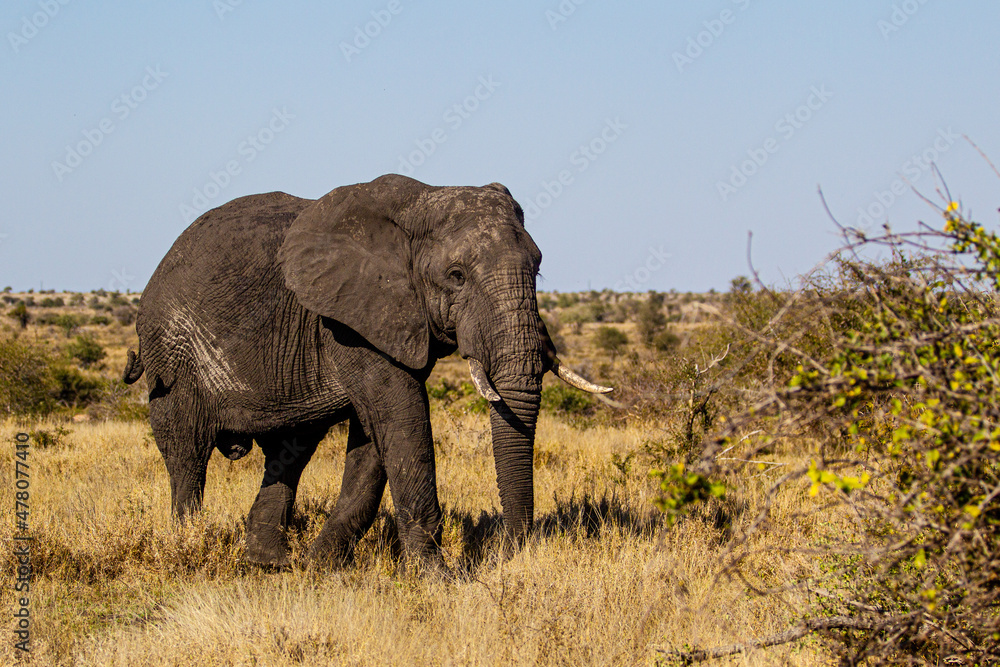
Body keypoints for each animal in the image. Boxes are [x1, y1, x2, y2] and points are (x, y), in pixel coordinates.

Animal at [123, 174, 612, 572]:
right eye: (456, 275)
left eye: (538, 266)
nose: (503, 555)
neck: (419, 204)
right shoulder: (348, 321)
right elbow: (401, 416)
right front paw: (438, 580)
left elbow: (377, 437)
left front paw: (321, 568)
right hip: (173, 351)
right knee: (187, 452)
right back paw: (188, 545)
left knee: (290, 452)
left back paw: (270, 564)